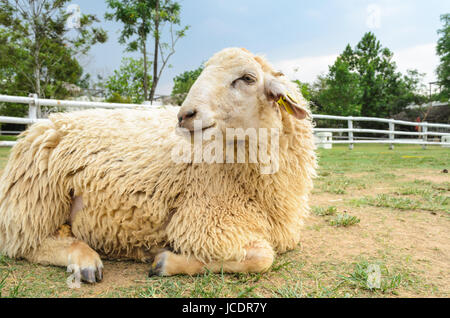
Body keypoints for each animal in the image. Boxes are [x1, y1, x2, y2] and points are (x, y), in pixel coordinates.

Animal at [0, 47, 316, 284]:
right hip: (35, 200)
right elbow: (262, 258)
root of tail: (46, 122)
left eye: (247, 78)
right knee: (24, 243)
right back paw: (85, 261)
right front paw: (166, 261)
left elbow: (265, 255)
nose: (185, 115)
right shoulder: (204, 219)